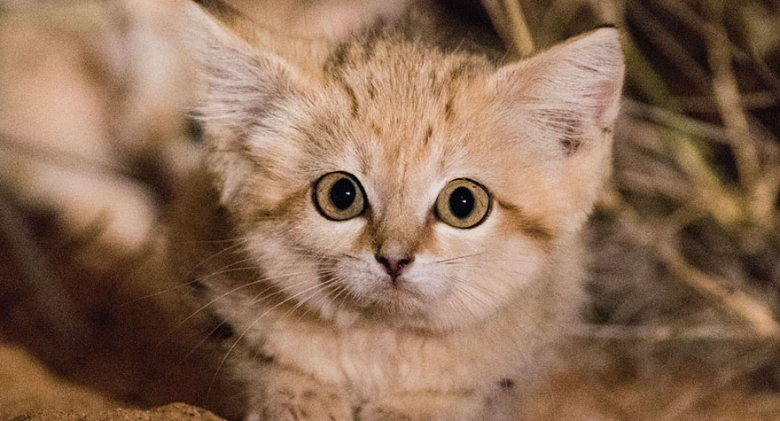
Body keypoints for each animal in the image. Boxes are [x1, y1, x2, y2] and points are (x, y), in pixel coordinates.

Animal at [177, 1, 620, 418]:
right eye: (341, 195)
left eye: (463, 203)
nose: (394, 259)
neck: (380, 342)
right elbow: (260, 364)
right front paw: (300, 399)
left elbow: (461, 397)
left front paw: (413, 409)